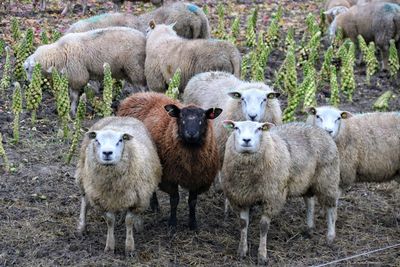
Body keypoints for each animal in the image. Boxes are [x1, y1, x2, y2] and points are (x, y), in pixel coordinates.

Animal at [76, 116, 162, 255]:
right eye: (97, 140)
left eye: (120, 140)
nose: (107, 153)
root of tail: (118, 116)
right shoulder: (104, 200)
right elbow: (110, 221)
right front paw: (110, 246)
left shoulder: (137, 199)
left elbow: (129, 220)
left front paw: (129, 247)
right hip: (82, 177)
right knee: (85, 201)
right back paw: (81, 227)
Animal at [116, 93, 222, 231]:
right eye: (181, 116)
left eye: (203, 117)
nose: (191, 133)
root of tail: (135, 95)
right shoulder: (170, 177)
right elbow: (174, 200)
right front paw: (172, 224)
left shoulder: (197, 179)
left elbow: (192, 202)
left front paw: (193, 224)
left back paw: (154, 206)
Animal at [222, 121, 340, 266]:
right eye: (236, 128)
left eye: (259, 128)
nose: (246, 140)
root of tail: (320, 129)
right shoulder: (242, 197)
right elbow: (243, 224)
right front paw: (242, 251)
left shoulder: (271, 198)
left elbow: (263, 226)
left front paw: (262, 256)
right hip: (307, 180)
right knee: (309, 202)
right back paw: (309, 228)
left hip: (328, 178)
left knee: (331, 207)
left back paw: (330, 237)